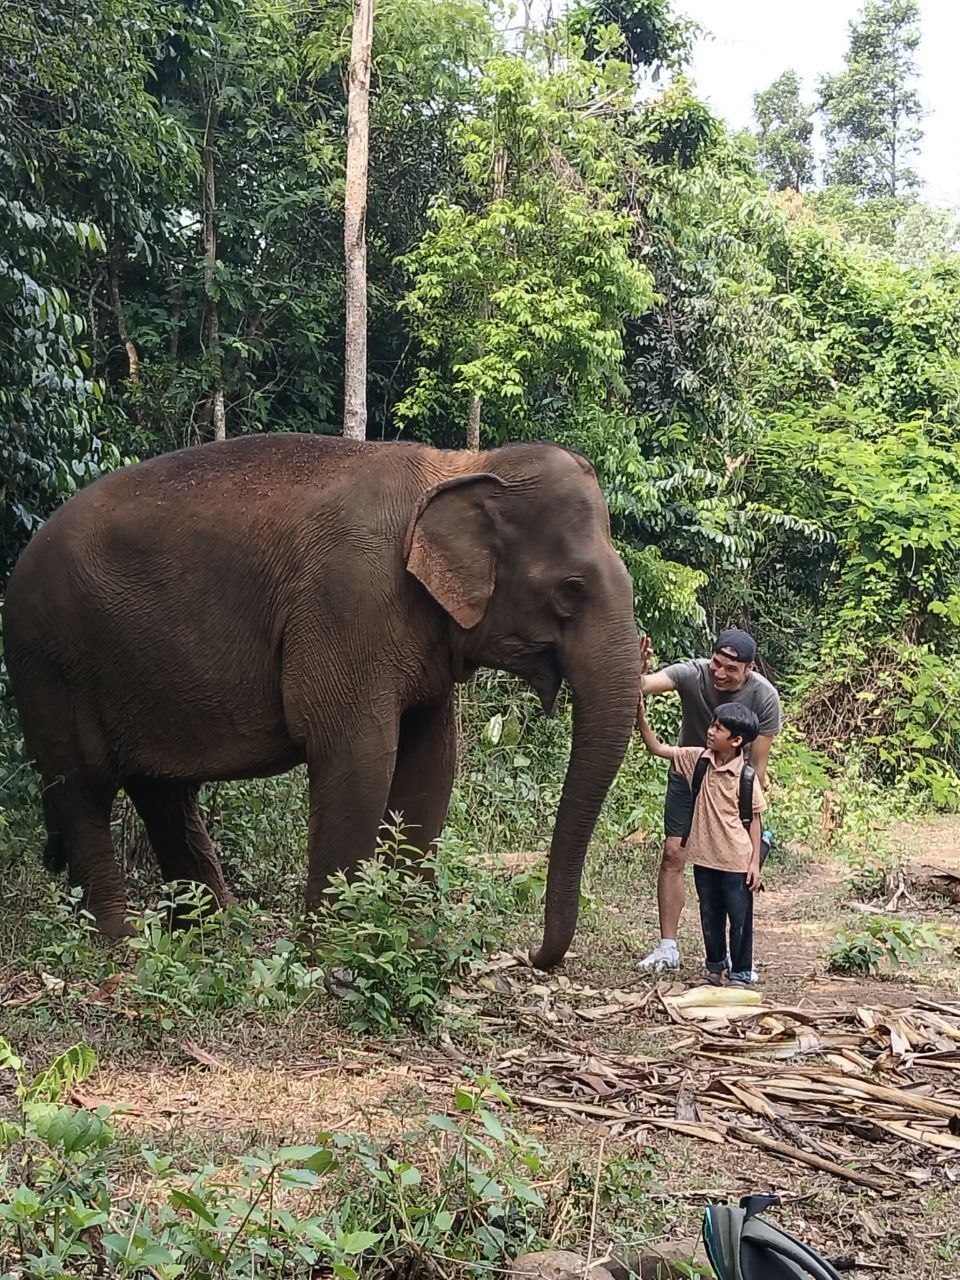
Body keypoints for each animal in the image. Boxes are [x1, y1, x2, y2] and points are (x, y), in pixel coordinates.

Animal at [3, 434, 641, 969]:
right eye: (571, 590)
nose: (531, 955)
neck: (458, 465)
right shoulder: (348, 603)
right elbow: (359, 754)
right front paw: (333, 953)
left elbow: (433, 761)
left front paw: (412, 939)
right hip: (46, 662)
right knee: (82, 790)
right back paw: (121, 941)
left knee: (162, 793)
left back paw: (217, 932)